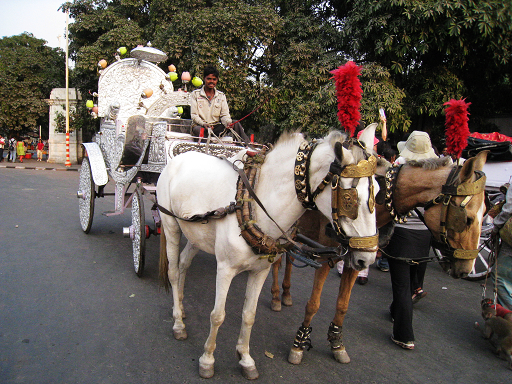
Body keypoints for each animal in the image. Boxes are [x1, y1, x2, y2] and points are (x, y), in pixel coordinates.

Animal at [158, 127, 378, 380]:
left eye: (380, 193)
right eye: (349, 199)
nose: (367, 259)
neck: (254, 203)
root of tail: (178, 158)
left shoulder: (260, 271)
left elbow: (249, 314)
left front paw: (245, 359)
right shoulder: (225, 268)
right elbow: (218, 315)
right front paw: (207, 360)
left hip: (197, 234)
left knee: (184, 264)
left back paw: (181, 308)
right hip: (170, 225)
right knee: (173, 272)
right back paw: (178, 323)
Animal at [270, 150, 486, 364]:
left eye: (485, 213)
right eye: (467, 219)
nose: (466, 269)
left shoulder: (357, 259)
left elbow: (343, 305)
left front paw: (337, 343)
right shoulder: (326, 257)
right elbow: (313, 304)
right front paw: (299, 344)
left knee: (288, 260)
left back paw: (286, 294)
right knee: (277, 261)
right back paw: (276, 297)